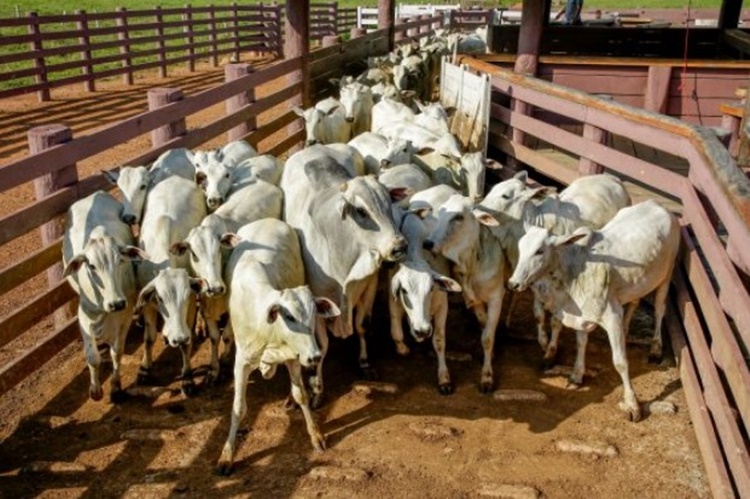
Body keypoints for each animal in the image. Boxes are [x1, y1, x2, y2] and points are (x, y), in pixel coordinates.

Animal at [62, 191, 148, 402]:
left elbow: (117, 352)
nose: (116, 303)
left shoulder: (125, 313)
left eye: (120, 261)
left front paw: (116, 386)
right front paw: (95, 390)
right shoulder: (84, 316)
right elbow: (93, 357)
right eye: (91, 266)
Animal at [214, 220, 338, 476]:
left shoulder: (292, 356)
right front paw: (227, 454)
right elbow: (238, 407)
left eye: (313, 314)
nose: (314, 356)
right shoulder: (242, 362)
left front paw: (316, 435)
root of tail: (269, 220)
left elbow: (301, 394)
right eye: (289, 316)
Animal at [512, 199, 680, 422]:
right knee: (634, 302)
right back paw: (627, 329)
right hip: (638, 282)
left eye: (540, 251)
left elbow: (620, 362)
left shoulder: (611, 315)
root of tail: (658, 204)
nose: (513, 283)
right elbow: (581, 343)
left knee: (660, 310)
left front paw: (632, 404)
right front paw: (577, 376)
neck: (575, 269)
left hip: (666, 275)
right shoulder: (582, 315)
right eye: (520, 247)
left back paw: (655, 349)